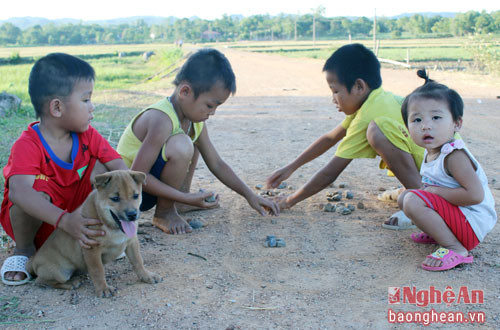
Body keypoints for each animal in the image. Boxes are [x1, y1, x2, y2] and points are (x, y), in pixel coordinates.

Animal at [26, 170, 161, 296]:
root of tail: (33, 260)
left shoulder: (132, 242)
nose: (132, 214)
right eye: (115, 198)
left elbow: (138, 261)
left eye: (136, 195)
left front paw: (147, 275)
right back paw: (71, 283)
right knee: (40, 281)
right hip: (61, 272)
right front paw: (103, 288)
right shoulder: (92, 249)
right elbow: (98, 270)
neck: (110, 227)